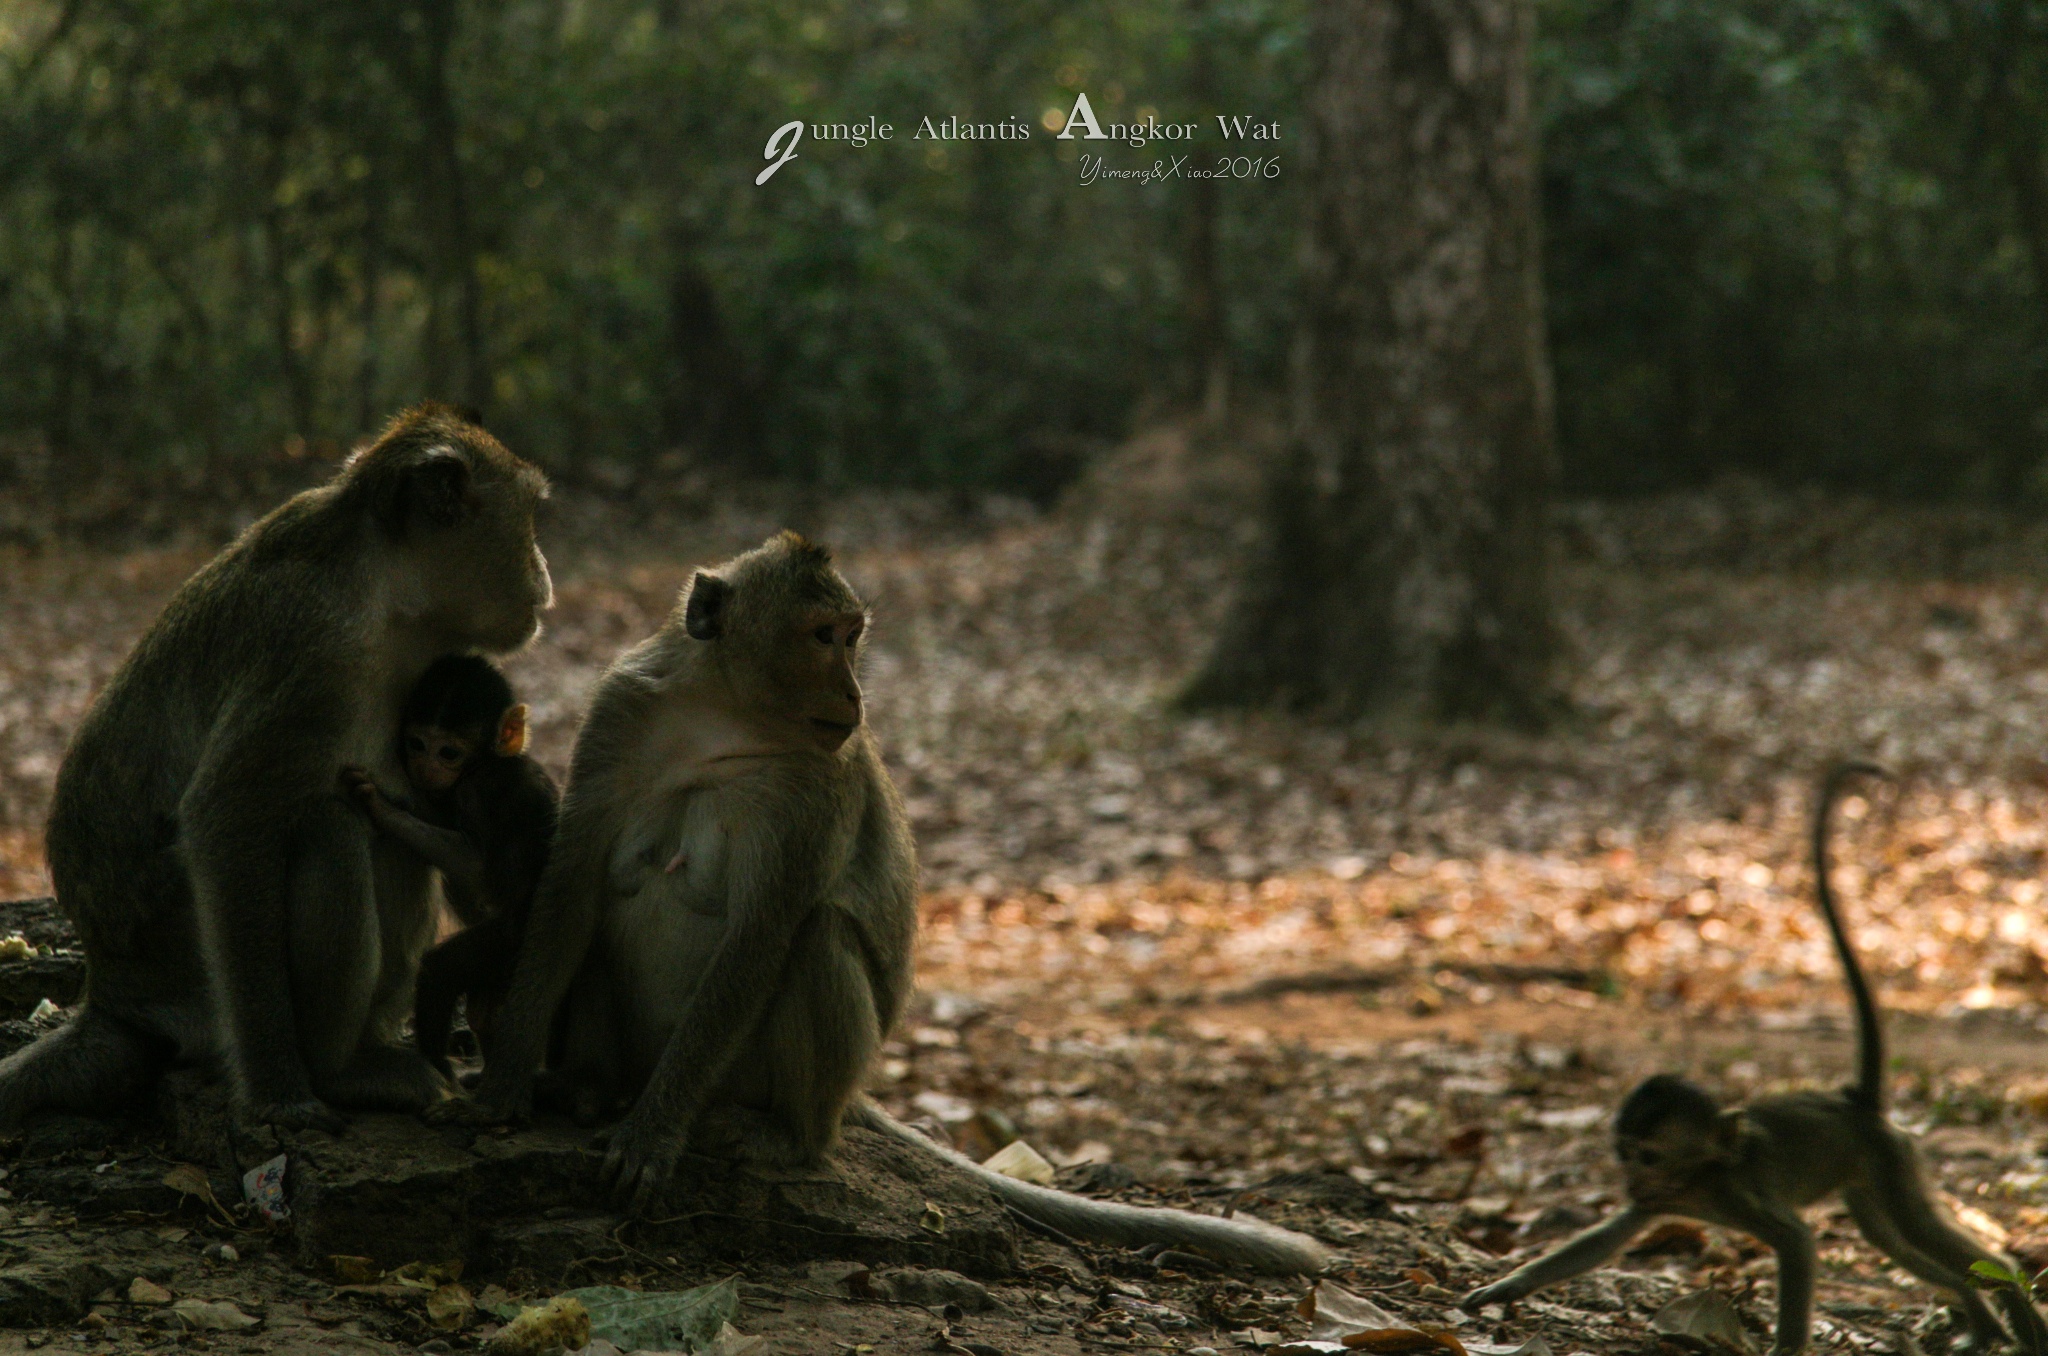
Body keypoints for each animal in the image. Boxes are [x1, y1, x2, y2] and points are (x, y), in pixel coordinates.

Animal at [0, 403, 557, 1138]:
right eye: (529, 515)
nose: (545, 571)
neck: (385, 593)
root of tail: (116, 997)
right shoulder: (311, 653)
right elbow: (226, 818)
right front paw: (279, 1092)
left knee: (385, 835)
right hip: (192, 984)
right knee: (330, 827)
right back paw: (337, 1070)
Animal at [1466, 770, 2039, 1351]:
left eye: (1648, 1155)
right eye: (1624, 1153)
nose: (1630, 1178)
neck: (1698, 1182)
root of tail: (1856, 1106)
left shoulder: (1737, 1194)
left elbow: (1798, 1242)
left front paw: (1786, 1347)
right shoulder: (1659, 1201)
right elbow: (1603, 1241)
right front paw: (1503, 1288)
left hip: (1893, 1161)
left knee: (1920, 1227)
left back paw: (2014, 1300)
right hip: (1869, 1177)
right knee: (1897, 1242)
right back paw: (1980, 1317)